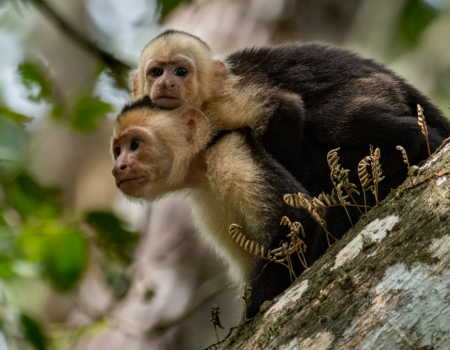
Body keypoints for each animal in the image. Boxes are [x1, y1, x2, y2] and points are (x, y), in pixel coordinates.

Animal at [110, 97, 328, 318]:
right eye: (118, 151)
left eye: (135, 144)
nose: (117, 168)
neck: (200, 164)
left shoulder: (228, 151)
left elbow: (298, 219)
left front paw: (252, 312)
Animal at [132, 30, 450, 239]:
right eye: (156, 72)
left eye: (181, 71)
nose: (167, 84)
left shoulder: (224, 103)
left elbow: (287, 110)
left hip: (377, 87)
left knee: (329, 119)